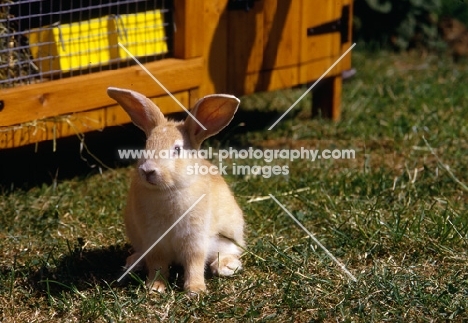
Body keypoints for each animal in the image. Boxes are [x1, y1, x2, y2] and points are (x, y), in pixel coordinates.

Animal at [106, 86, 245, 294]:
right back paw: (132, 264)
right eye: (146, 145)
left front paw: (195, 290)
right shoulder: (153, 240)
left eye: (177, 149)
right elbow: (157, 264)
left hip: (226, 237)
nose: (148, 170)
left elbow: (195, 262)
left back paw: (226, 267)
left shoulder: (195, 238)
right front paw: (155, 287)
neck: (167, 190)